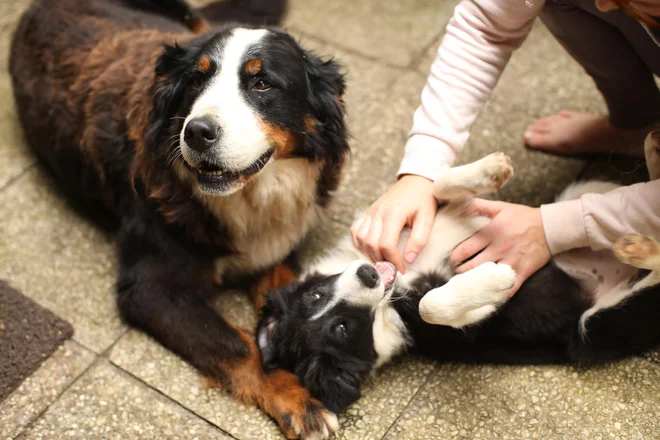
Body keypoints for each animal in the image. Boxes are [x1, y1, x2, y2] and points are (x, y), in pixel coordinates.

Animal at [10, 0, 348, 436]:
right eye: (196, 82)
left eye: (262, 84)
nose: (197, 132)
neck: (248, 196)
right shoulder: (150, 288)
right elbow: (238, 344)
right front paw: (296, 399)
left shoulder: (273, 247)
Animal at [256, 132, 660, 414]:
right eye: (341, 328)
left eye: (316, 294)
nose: (369, 274)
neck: (396, 288)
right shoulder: (461, 328)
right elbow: (432, 305)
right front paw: (495, 279)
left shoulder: (427, 216)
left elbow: (437, 186)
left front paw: (492, 169)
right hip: (596, 327)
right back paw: (638, 245)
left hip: (582, 189)